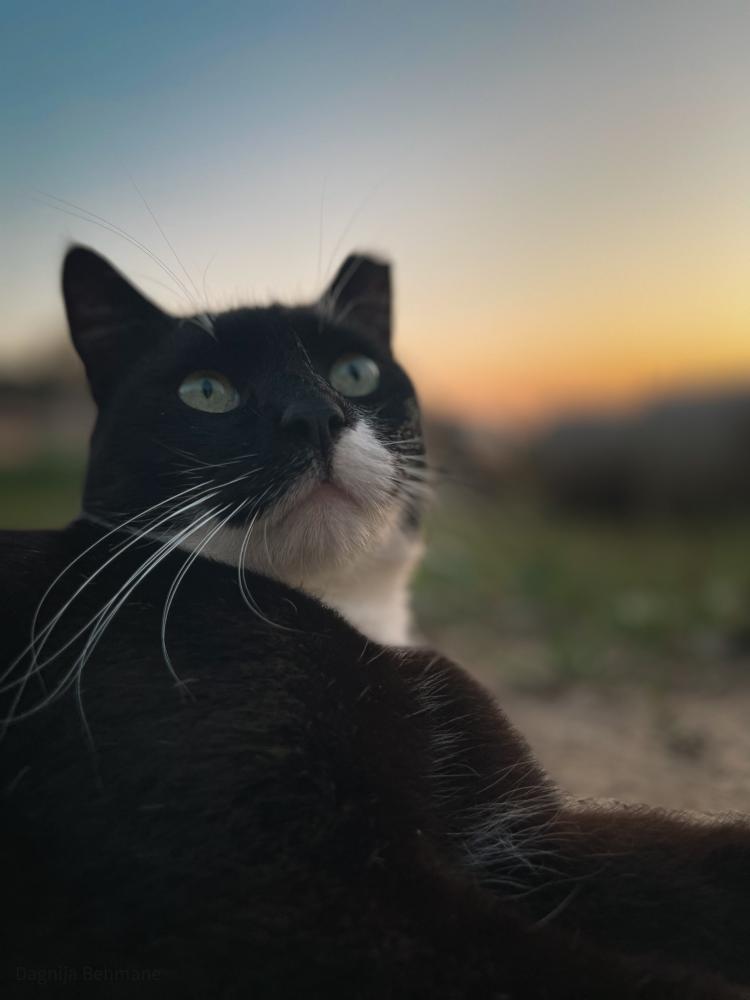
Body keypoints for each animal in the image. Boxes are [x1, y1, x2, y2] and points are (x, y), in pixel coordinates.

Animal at [2, 247, 750, 999]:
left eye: (354, 373)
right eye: (205, 390)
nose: (315, 414)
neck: (349, 613)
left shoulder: (528, 838)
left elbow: (680, 865)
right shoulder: (284, 897)